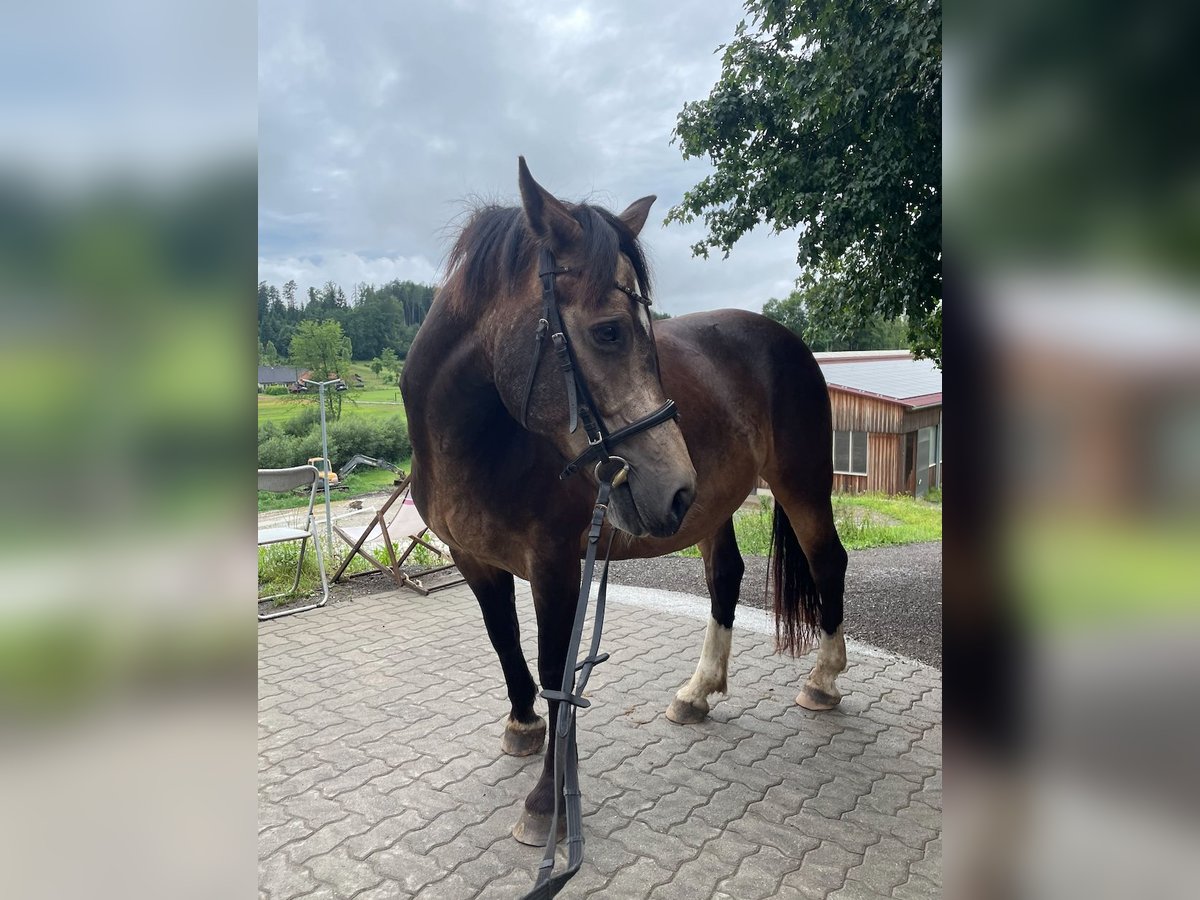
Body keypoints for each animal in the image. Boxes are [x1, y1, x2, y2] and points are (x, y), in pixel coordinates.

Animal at [398, 158, 849, 849]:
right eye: (608, 331)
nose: (674, 485)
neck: (479, 443)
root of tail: (786, 339)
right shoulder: (473, 560)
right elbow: (504, 640)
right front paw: (523, 724)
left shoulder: (557, 568)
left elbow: (557, 671)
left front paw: (547, 801)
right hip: (715, 506)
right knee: (726, 578)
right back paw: (698, 692)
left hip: (801, 484)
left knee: (828, 564)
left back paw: (823, 682)